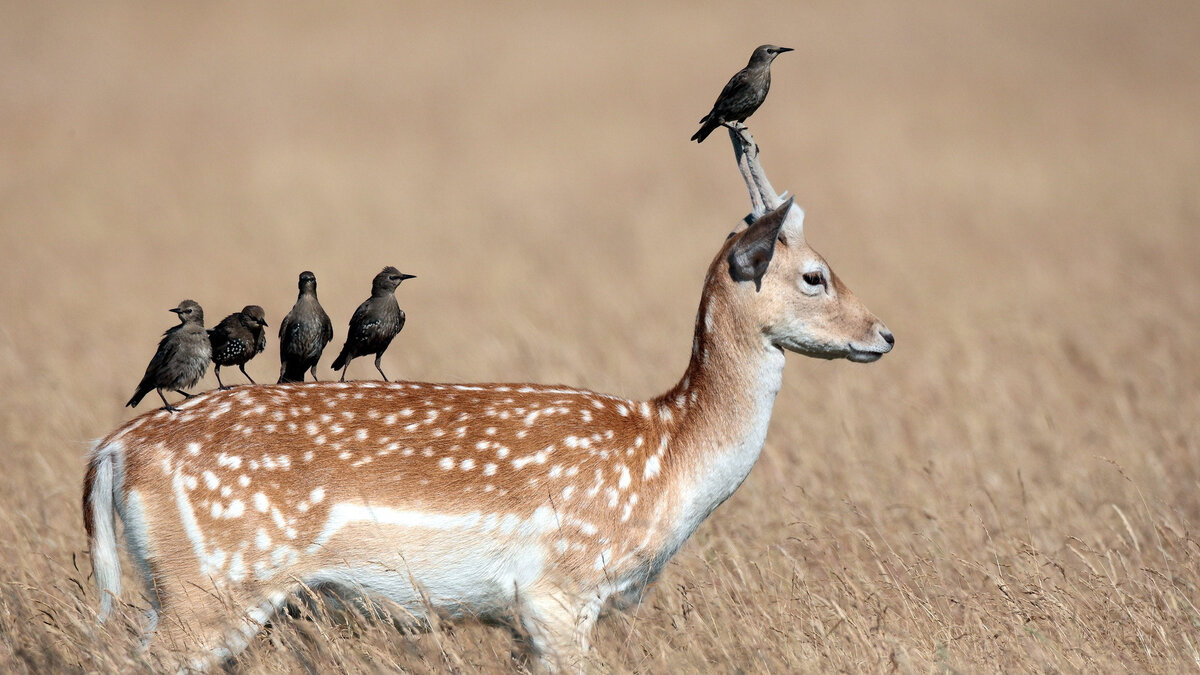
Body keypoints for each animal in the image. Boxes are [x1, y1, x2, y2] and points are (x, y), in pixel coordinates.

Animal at [82, 127, 892, 667]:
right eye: (815, 275)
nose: (882, 334)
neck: (667, 453)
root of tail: (112, 452)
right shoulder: (561, 589)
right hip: (209, 584)